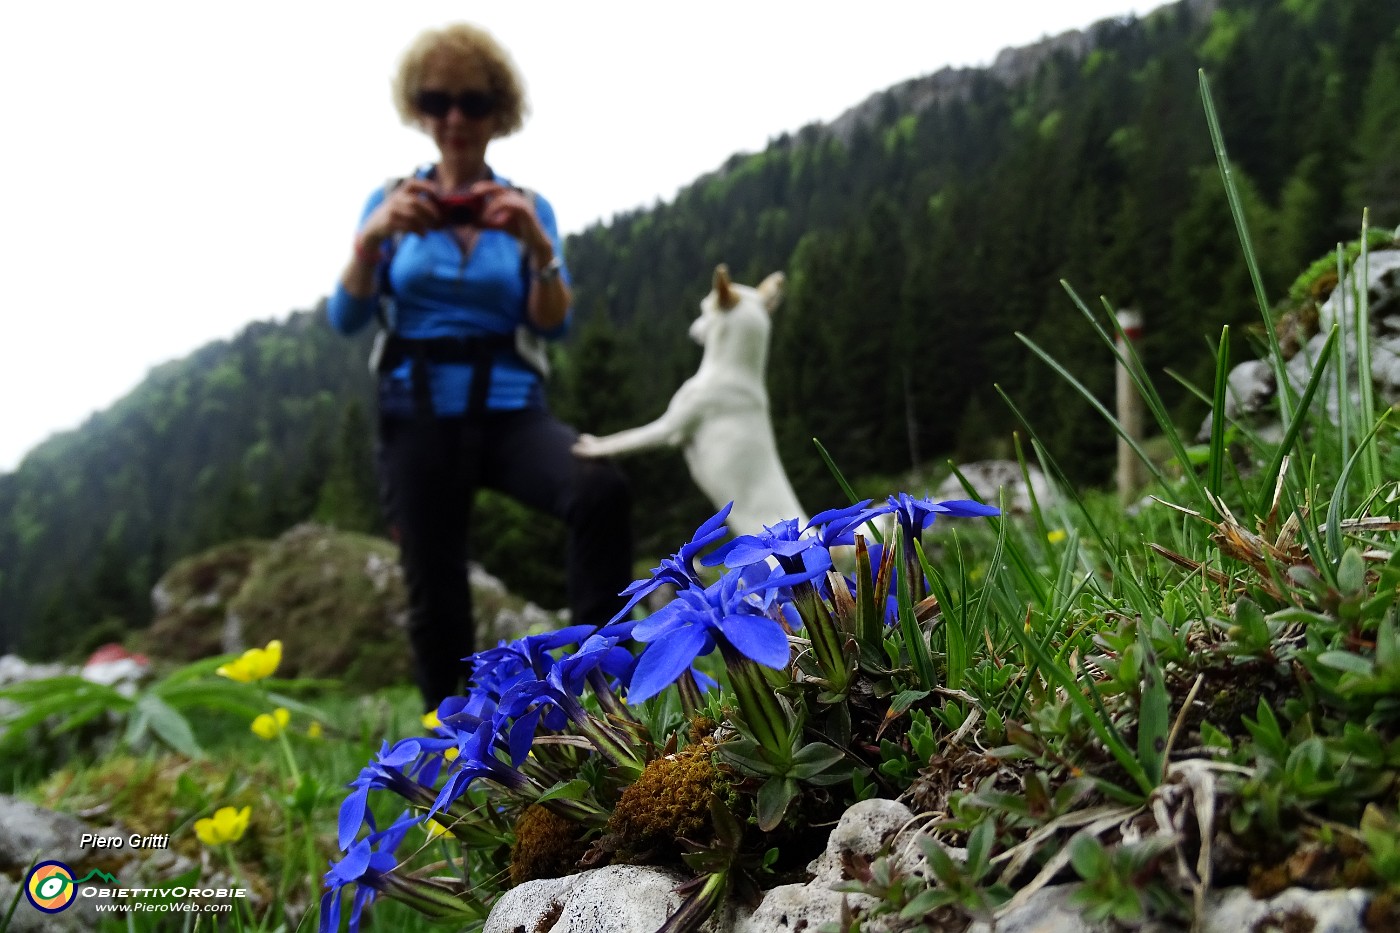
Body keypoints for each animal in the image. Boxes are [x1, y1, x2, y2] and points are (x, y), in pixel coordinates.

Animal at [571, 264, 812, 535]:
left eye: (703, 309)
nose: (692, 328)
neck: (730, 370)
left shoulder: (666, 430)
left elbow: (624, 440)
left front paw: (592, 446)